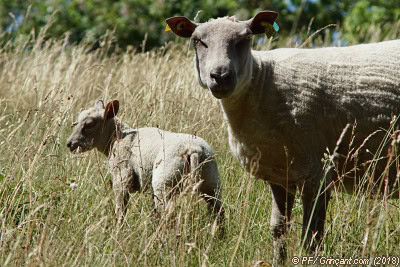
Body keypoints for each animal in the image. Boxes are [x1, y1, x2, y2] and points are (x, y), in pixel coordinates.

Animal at [64, 100, 223, 228]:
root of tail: (194, 149)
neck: (116, 138)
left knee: (167, 216)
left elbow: (120, 211)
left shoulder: (121, 179)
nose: (70, 144)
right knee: (219, 212)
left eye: (89, 124)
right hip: (211, 181)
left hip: (164, 182)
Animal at [165, 9, 400, 264]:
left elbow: (312, 237)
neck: (262, 83)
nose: (220, 75)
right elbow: (279, 229)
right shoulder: (280, 176)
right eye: (198, 41)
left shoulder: (317, 172)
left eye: (245, 39)